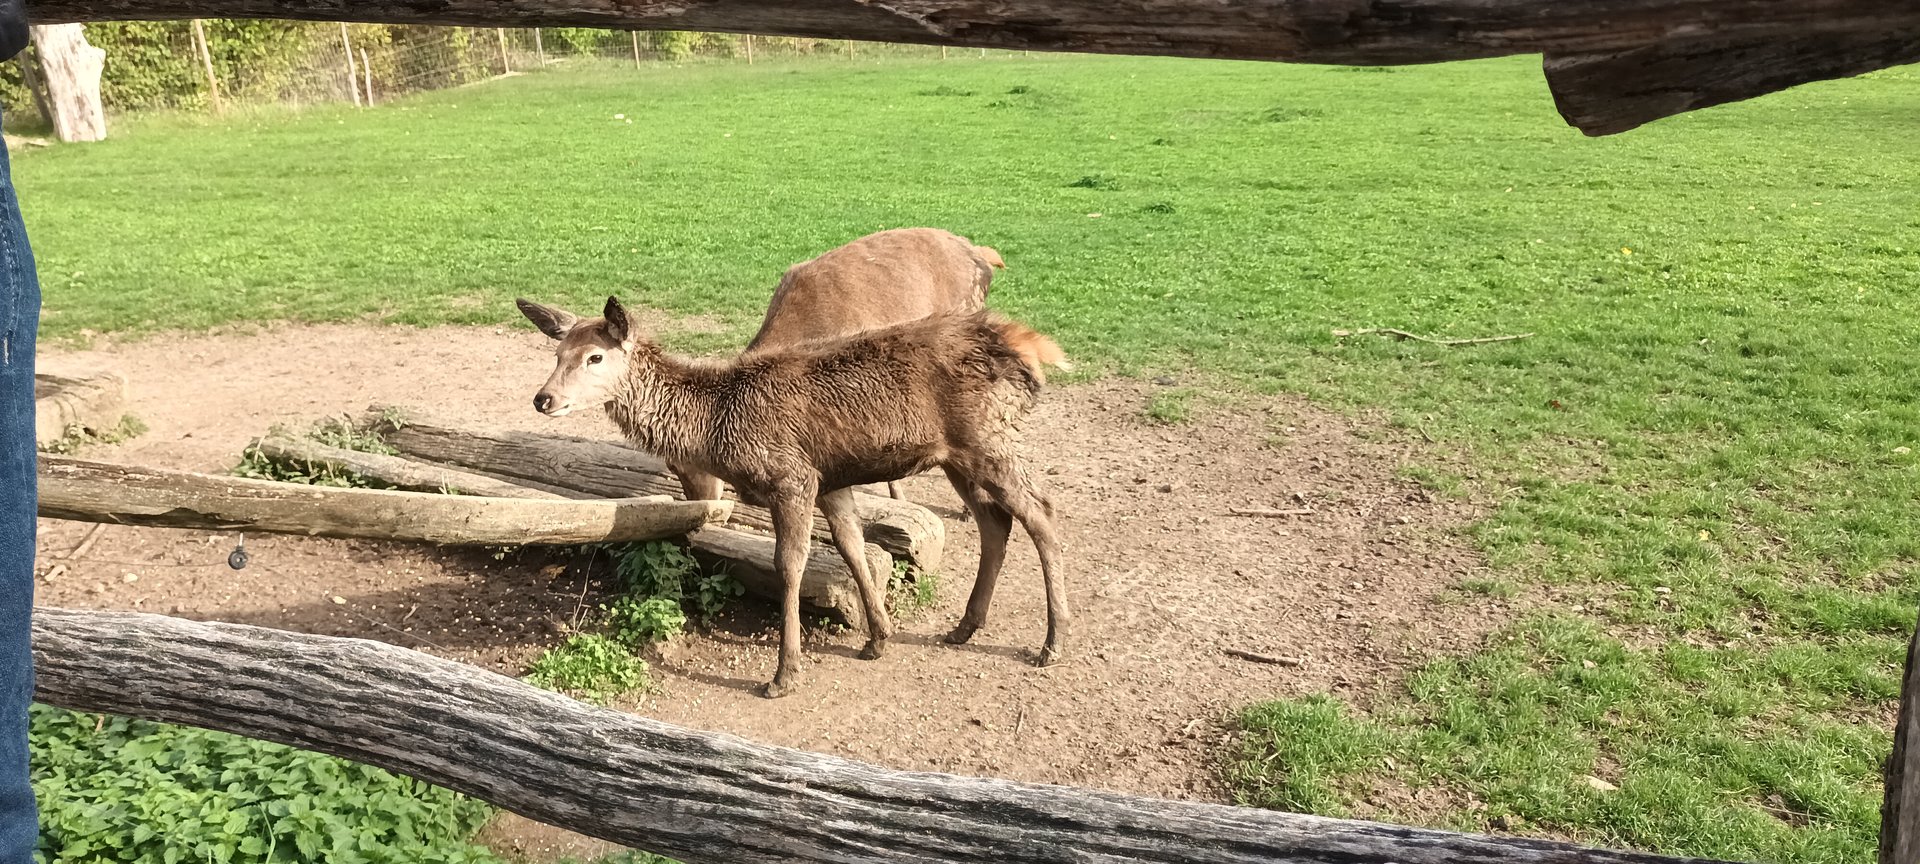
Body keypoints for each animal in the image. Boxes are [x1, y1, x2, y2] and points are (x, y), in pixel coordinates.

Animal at [516, 294, 1069, 698]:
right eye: (556, 355)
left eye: (595, 357)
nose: (544, 399)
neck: (718, 427)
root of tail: (1031, 351)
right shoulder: (831, 482)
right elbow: (851, 549)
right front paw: (878, 637)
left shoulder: (793, 478)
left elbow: (791, 565)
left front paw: (785, 672)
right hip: (958, 455)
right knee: (996, 522)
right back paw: (965, 626)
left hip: (989, 436)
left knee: (1041, 514)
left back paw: (1053, 641)